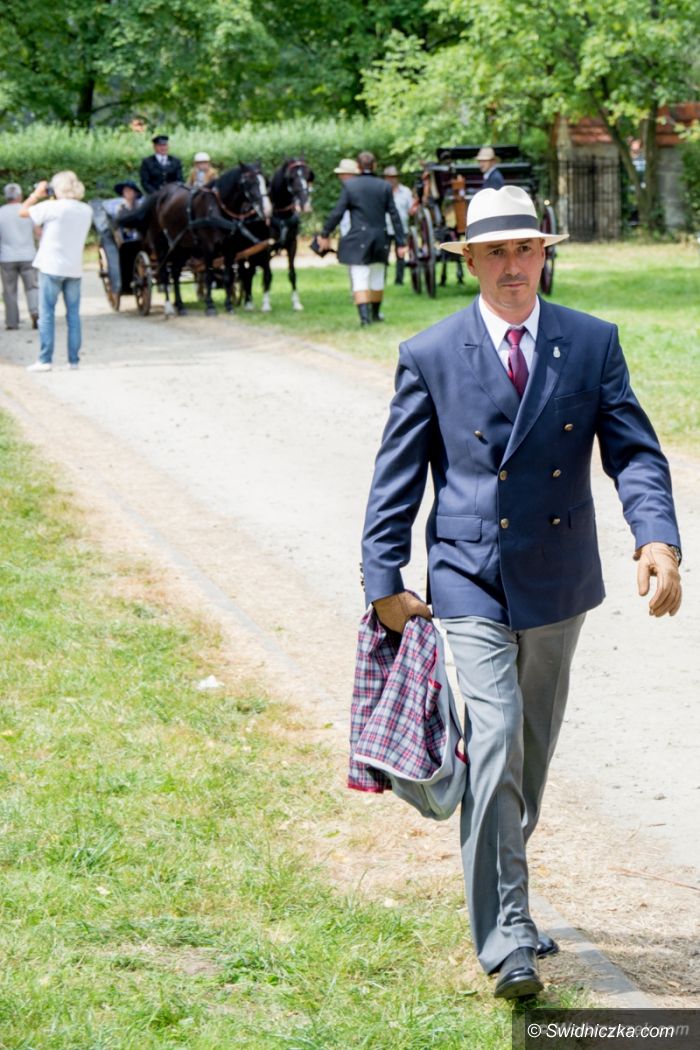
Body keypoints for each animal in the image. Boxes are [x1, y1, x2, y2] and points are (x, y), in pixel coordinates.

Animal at [240, 158, 314, 313]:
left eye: (307, 175)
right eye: (290, 178)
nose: (305, 202)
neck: (281, 214)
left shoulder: (292, 244)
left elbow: (292, 274)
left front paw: (296, 303)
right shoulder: (267, 248)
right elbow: (268, 275)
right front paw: (266, 304)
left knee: (250, 272)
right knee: (245, 272)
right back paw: (248, 302)